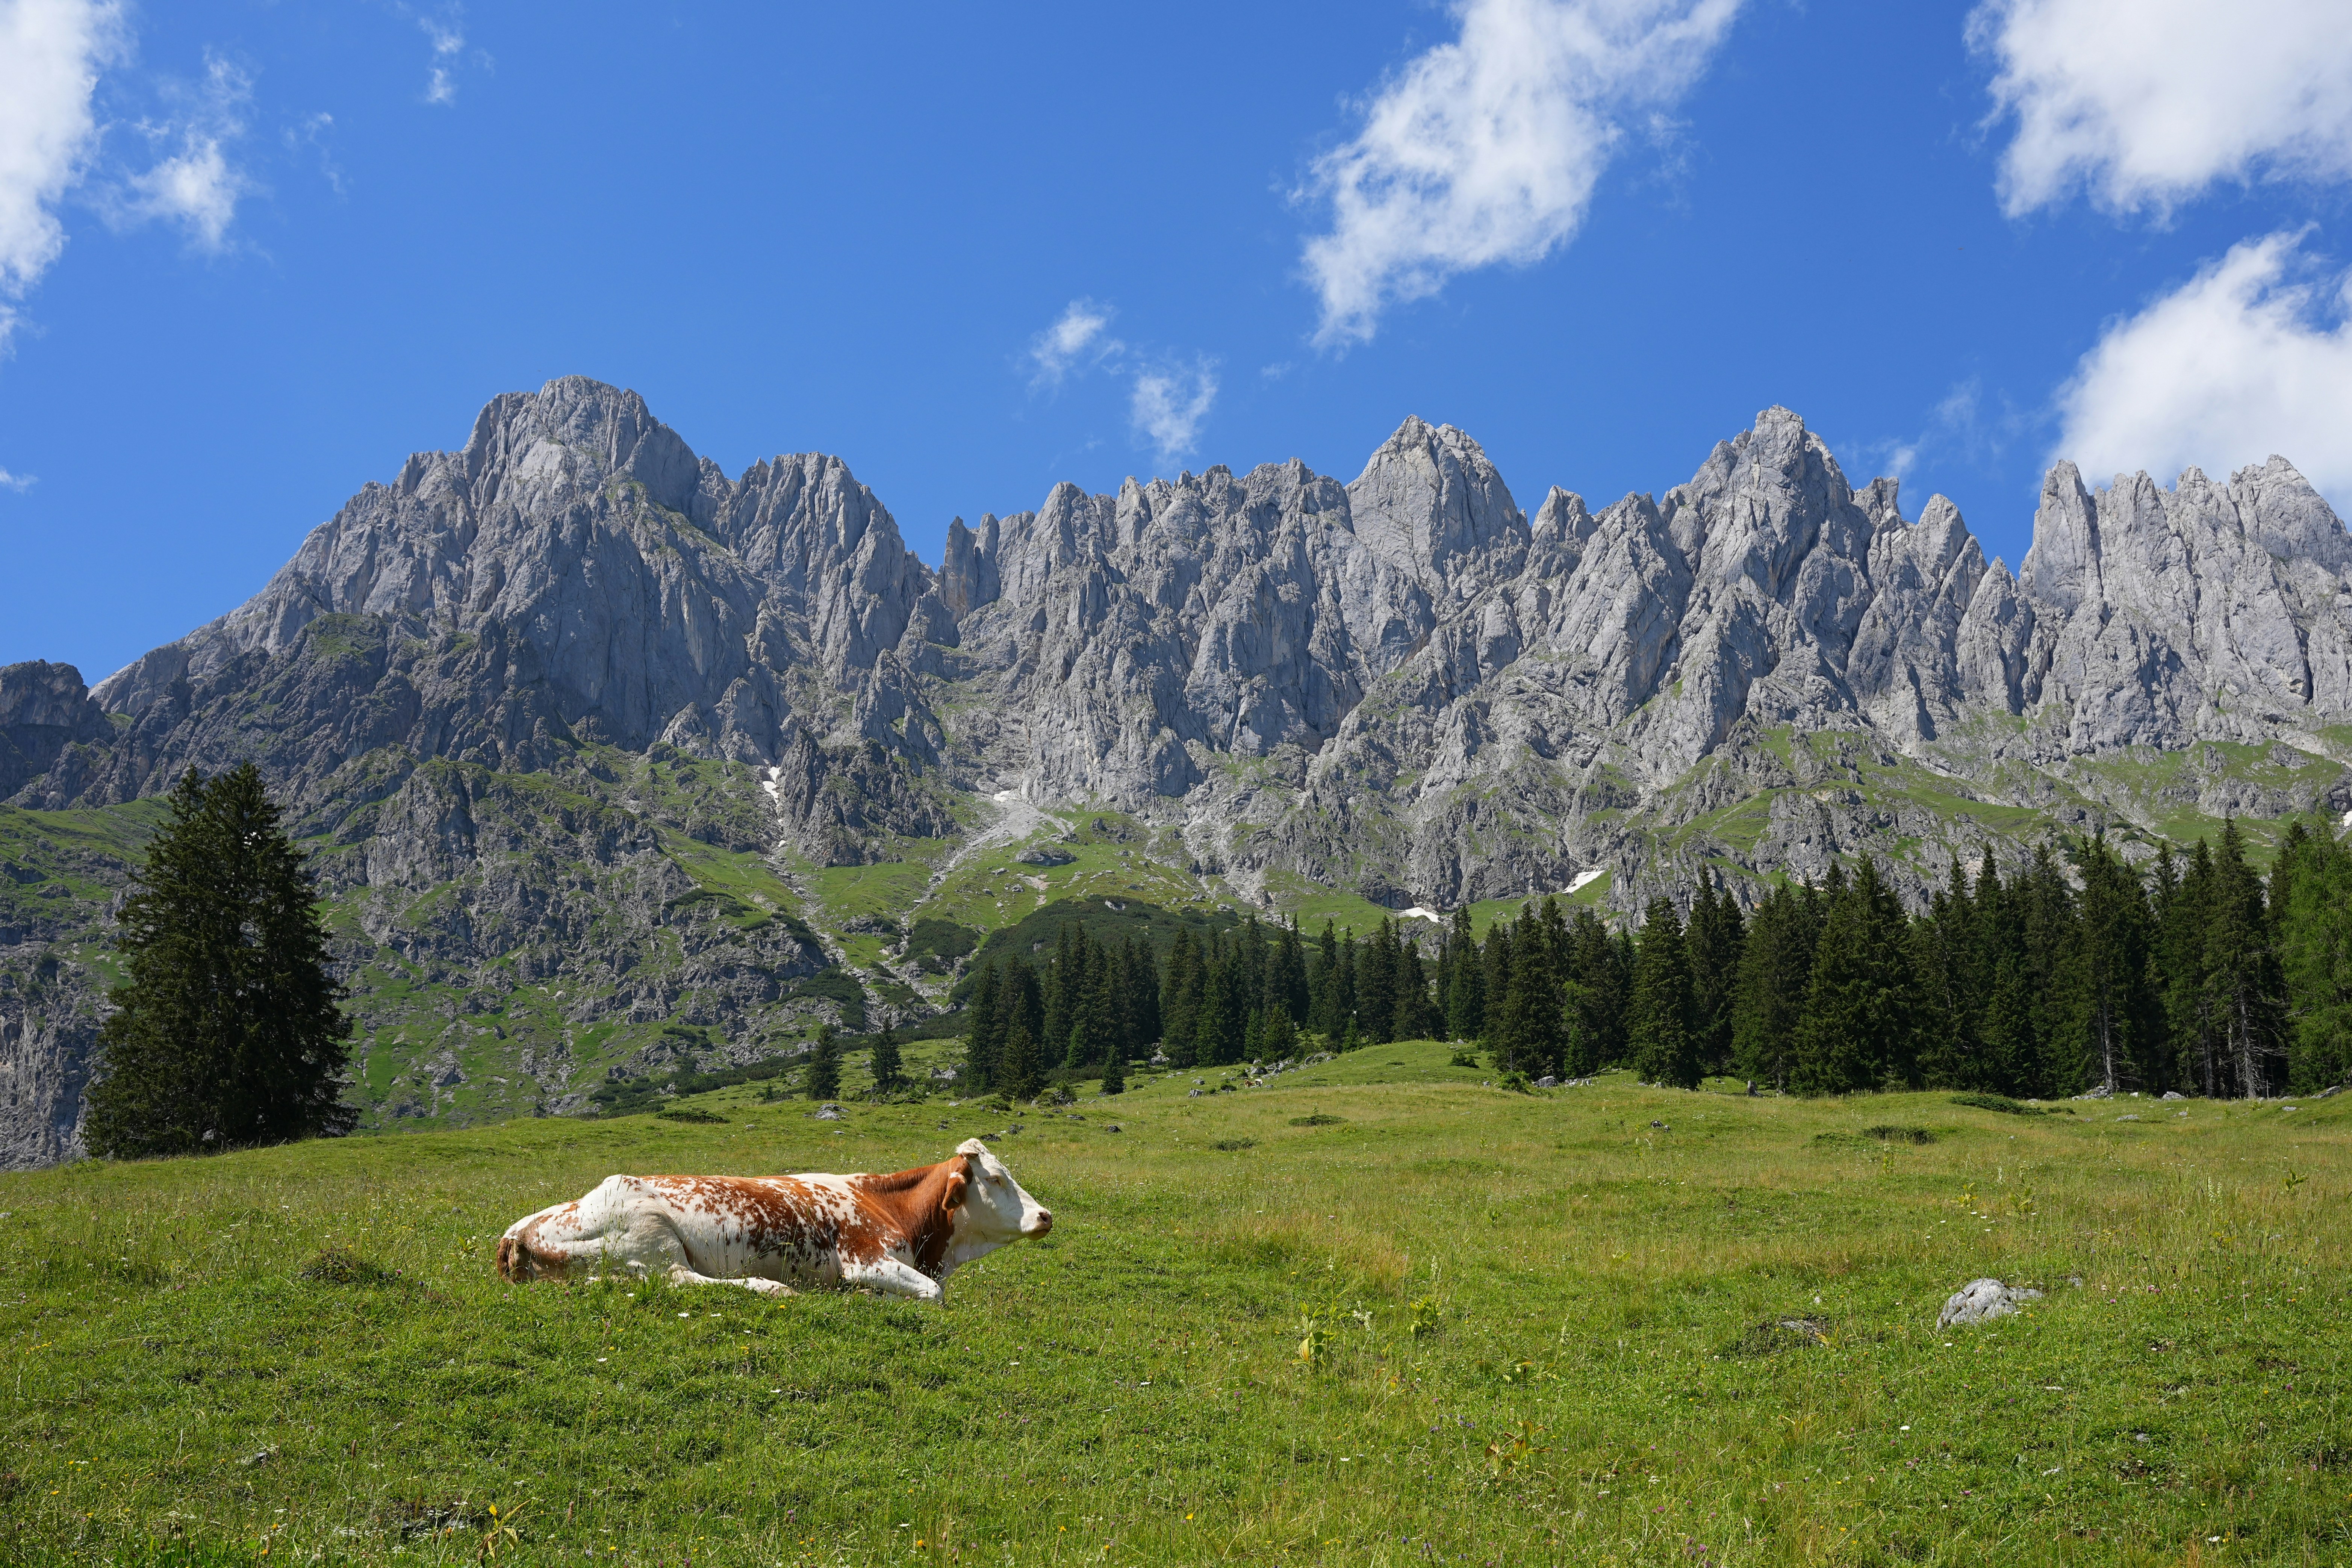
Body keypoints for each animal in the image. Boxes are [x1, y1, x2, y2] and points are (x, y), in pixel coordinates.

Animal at [492, 1139, 1050, 1303]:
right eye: (996, 1178)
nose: (1046, 1215)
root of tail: (517, 1231)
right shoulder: (863, 1258)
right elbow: (933, 1295)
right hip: (650, 1234)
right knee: (681, 1280)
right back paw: (771, 1287)